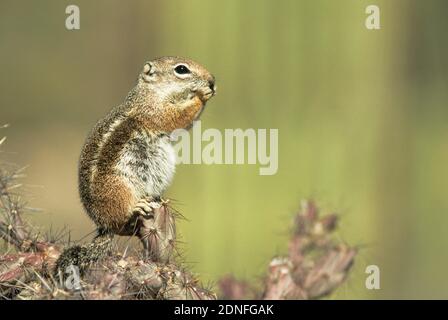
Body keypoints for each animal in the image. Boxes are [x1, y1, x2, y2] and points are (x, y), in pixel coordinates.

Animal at [54, 57, 215, 276]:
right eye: (181, 69)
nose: (212, 81)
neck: (148, 93)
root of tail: (103, 226)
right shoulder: (154, 111)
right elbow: (176, 117)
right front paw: (202, 96)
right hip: (120, 188)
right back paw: (137, 206)